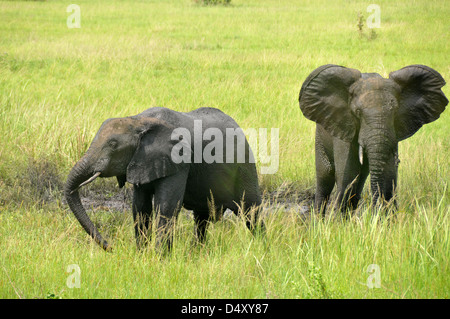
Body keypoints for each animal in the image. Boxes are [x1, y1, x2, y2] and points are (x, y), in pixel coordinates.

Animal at [64, 106, 262, 251]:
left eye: (113, 145)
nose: (111, 247)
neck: (138, 120)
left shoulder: (179, 160)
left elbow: (167, 206)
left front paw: (160, 259)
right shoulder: (142, 160)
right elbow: (140, 207)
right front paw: (142, 255)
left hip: (244, 166)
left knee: (251, 211)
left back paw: (263, 248)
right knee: (201, 220)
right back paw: (197, 253)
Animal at [298, 64, 446, 215]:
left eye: (395, 111)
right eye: (357, 112)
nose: (376, 209)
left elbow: (389, 175)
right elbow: (348, 175)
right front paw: (339, 220)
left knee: (360, 178)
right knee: (325, 176)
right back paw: (318, 218)